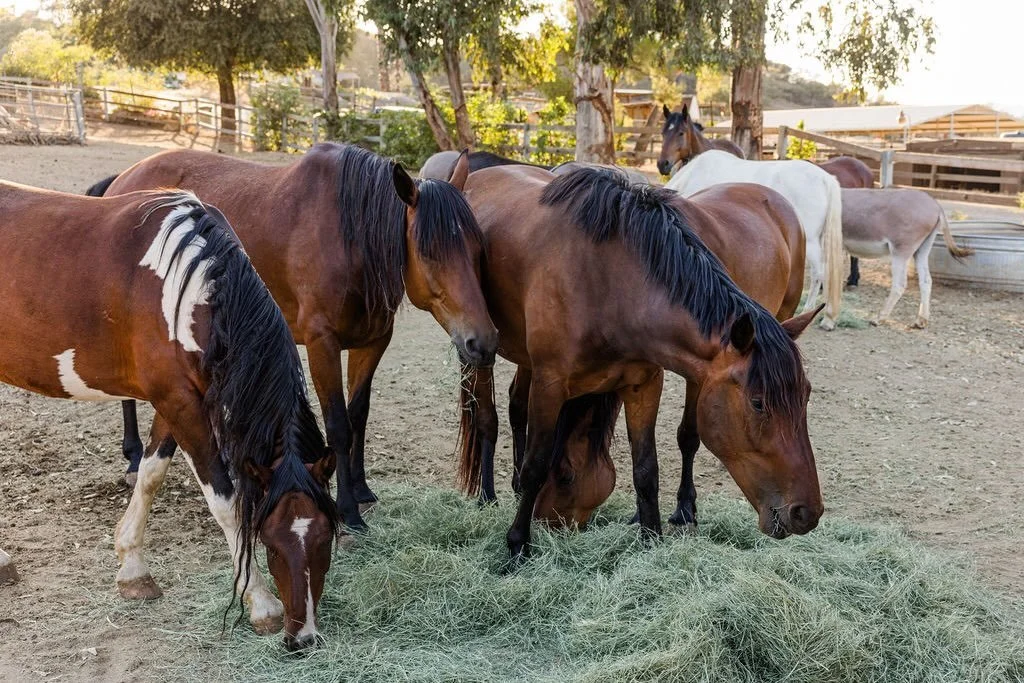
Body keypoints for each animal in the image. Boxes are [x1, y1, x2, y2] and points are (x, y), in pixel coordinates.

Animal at [0, 183, 336, 649]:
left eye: (325, 539)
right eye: (269, 541)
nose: (302, 637)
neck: (194, 285)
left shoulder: (175, 401)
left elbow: (150, 473)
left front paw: (132, 568)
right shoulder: (179, 402)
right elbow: (224, 501)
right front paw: (262, 604)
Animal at [86, 144, 497, 530]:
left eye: (479, 248)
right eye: (428, 254)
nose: (483, 341)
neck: (349, 238)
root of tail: (124, 178)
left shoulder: (373, 341)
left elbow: (358, 415)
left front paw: (361, 489)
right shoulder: (321, 343)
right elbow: (338, 425)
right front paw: (349, 512)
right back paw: (134, 457)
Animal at [456, 165, 823, 562]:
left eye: (806, 397)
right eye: (758, 403)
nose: (806, 512)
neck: (608, 282)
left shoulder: (643, 384)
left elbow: (646, 468)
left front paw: (651, 537)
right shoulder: (550, 382)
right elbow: (537, 463)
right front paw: (517, 545)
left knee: (515, 405)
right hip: (478, 348)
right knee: (487, 417)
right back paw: (487, 495)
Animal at [841, 188, 974, 328]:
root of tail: (935, 205)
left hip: (900, 251)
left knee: (899, 284)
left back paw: (879, 318)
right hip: (922, 249)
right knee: (926, 281)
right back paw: (921, 321)